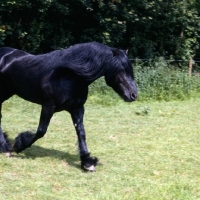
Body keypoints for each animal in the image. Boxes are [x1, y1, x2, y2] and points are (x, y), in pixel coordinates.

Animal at [0, 41, 138, 171]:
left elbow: (81, 133)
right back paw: (5, 147)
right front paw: (18, 146)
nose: (134, 95)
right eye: (121, 70)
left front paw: (87, 162)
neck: (68, 77)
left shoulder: (77, 108)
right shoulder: (48, 106)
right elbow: (41, 131)